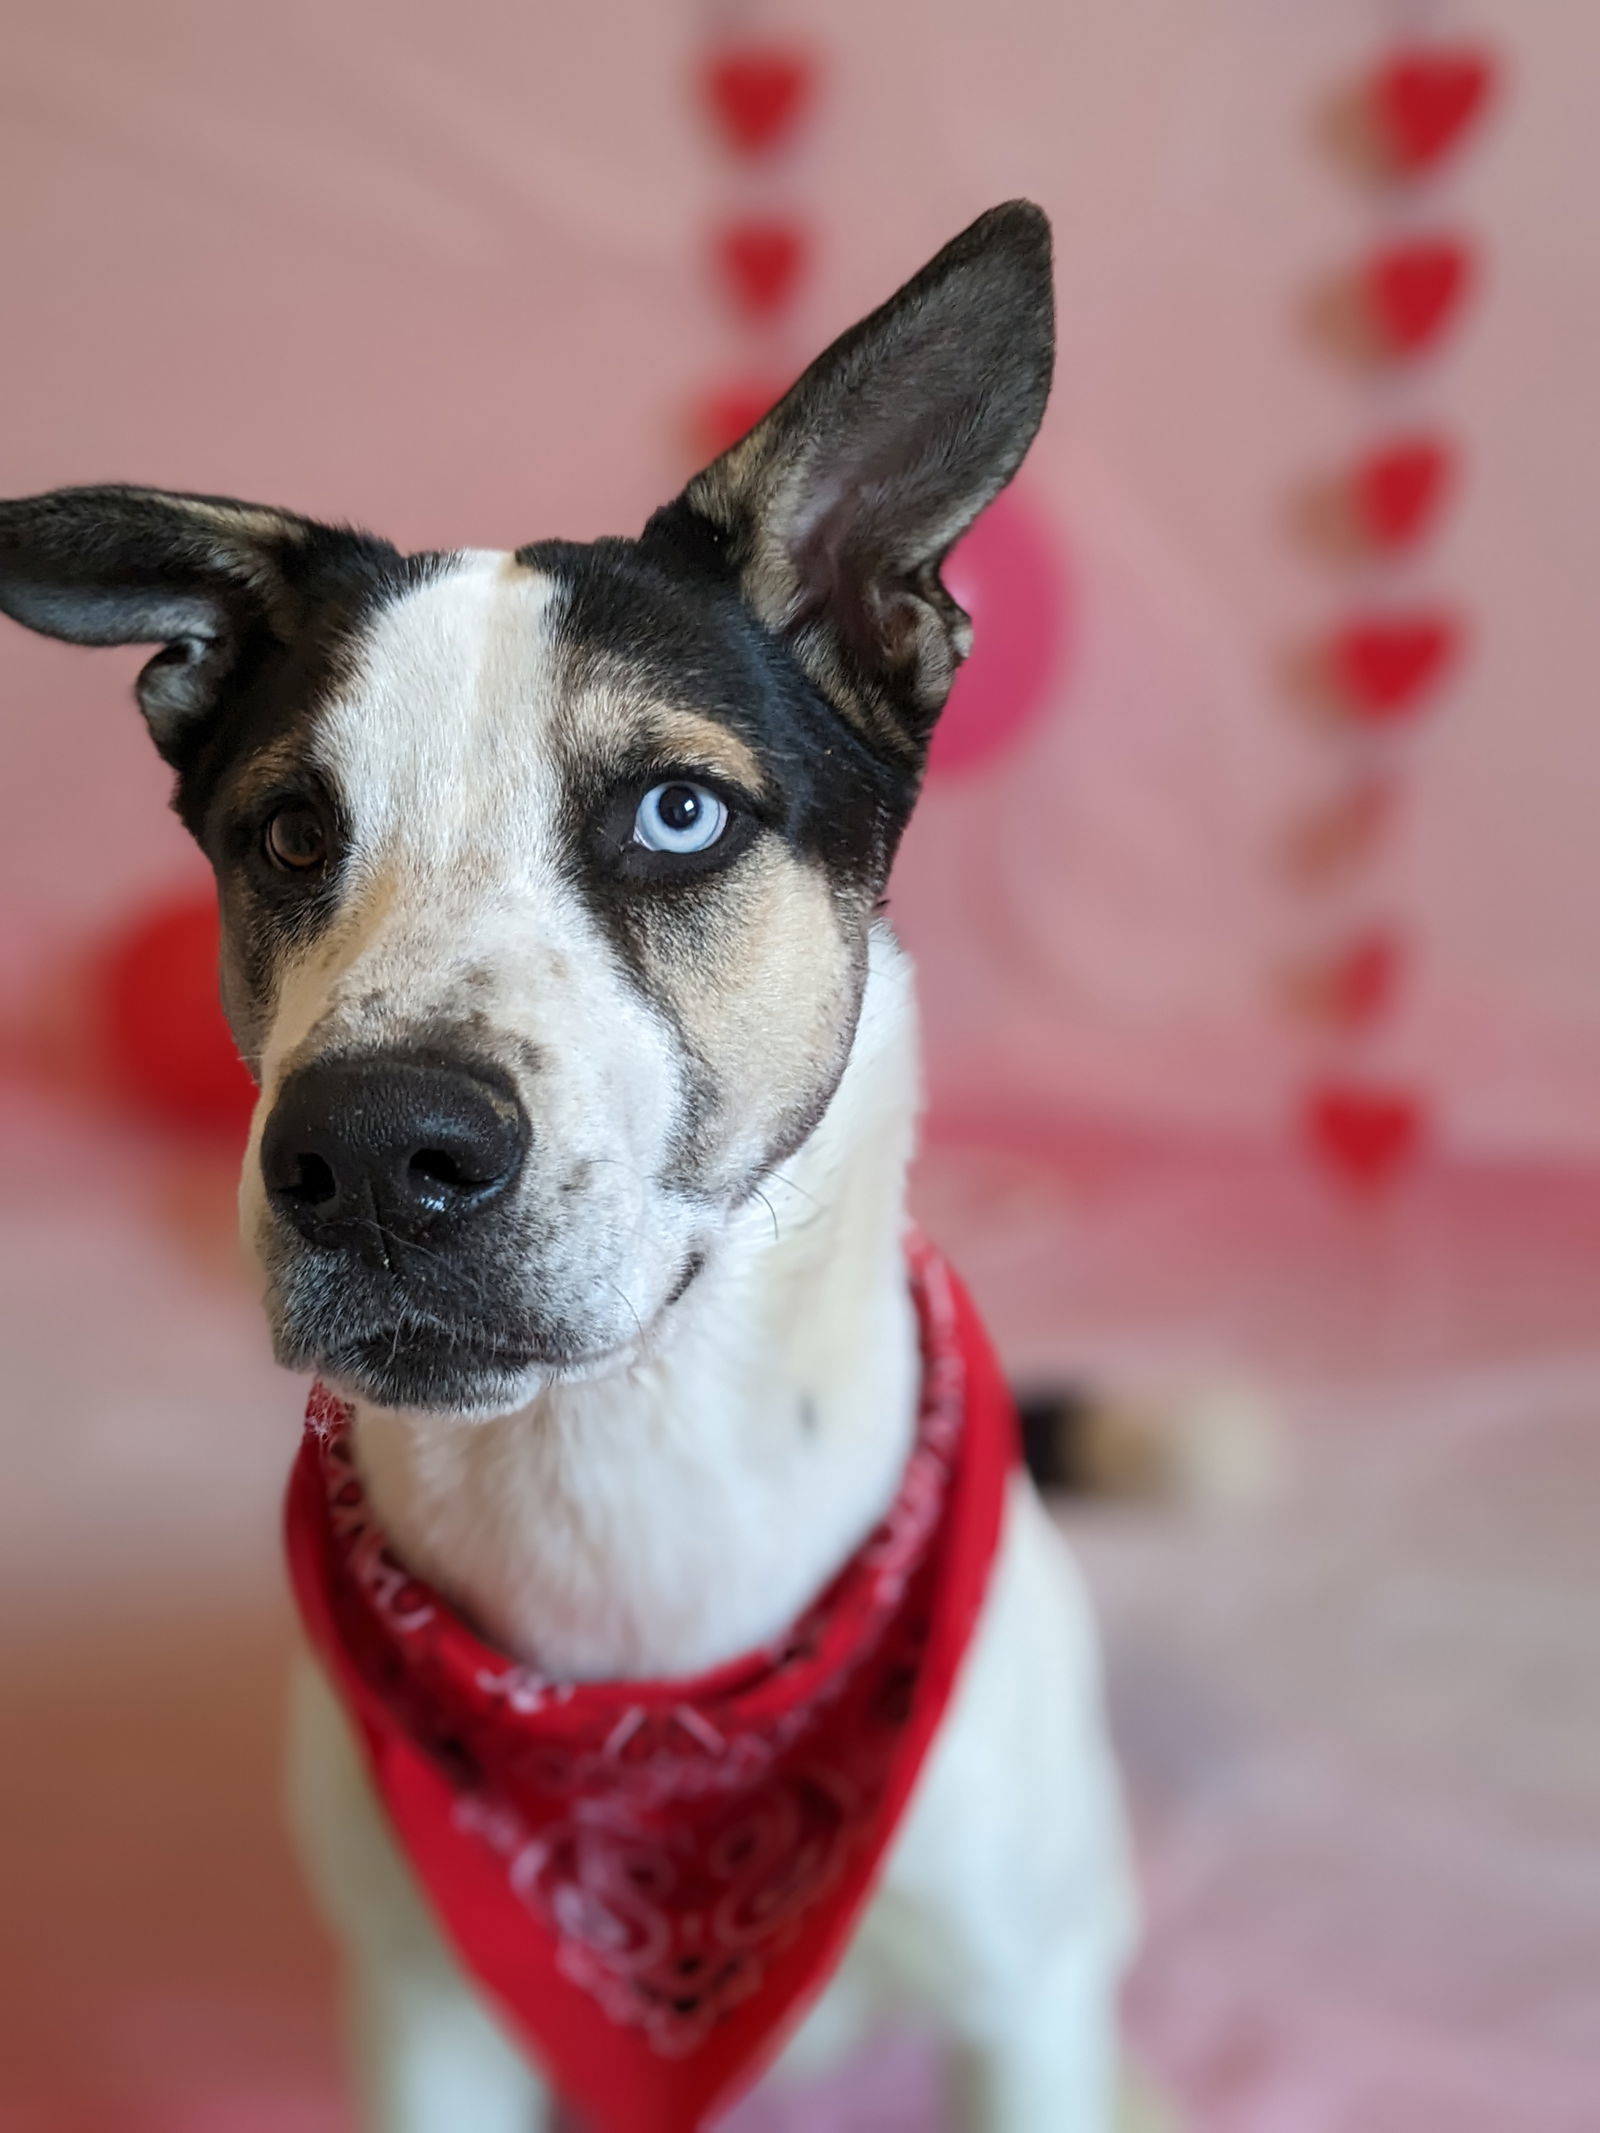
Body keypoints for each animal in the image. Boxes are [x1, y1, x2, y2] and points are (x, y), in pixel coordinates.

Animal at [0, 203, 1152, 2133]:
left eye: (678, 813)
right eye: (288, 832)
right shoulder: (426, 2016)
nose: (371, 1152)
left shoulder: (1021, 2004)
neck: (623, 1458)